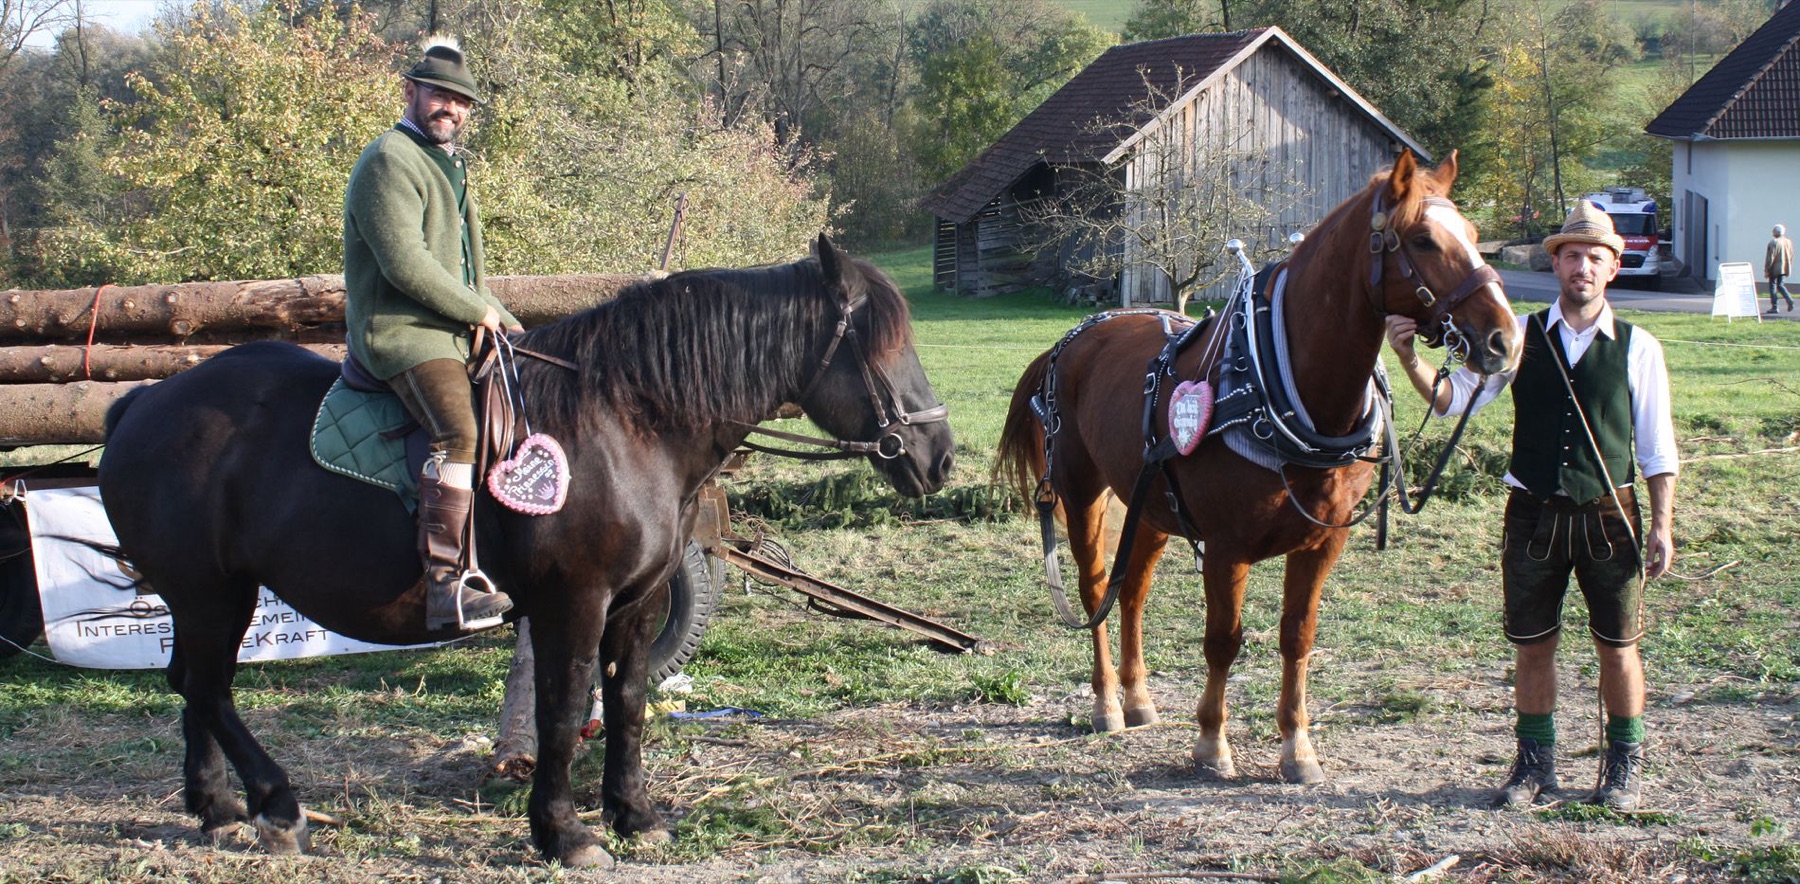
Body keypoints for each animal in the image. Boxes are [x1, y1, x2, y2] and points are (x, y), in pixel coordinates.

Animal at [96, 234, 954, 868]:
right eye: (877, 344)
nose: (939, 456)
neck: (627, 417)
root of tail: (146, 402)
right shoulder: (572, 602)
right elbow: (564, 708)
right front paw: (564, 832)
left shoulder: (638, 602)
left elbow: (626, 702)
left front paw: (634, 815)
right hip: (212, 593)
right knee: (210, 690)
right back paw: (275, 805)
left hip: (205, 596)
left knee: (191, 686)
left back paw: (216, 808)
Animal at [995, 151, 1520, 784]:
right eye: (1422, 239)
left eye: (1473, 234)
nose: (1504, 339)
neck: (1287, 391)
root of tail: (1074, 338)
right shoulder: (1227, 546)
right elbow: (1223, 640)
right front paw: (1211, 742)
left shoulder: (1323, 542)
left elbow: (1298, 637)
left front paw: (1298, 747)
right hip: (1080, 491)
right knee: (1095, 585)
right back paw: (1106, 704)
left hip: (1149, 503)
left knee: (1132, 592)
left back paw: (1138, 697)